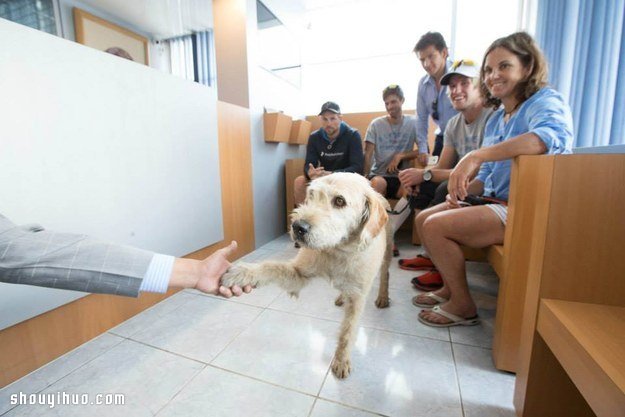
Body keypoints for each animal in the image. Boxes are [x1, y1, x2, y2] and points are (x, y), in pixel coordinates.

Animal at [221, 171, 390, 376]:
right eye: (311, 195)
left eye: (339, 201)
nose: (297, 227)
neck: (337, 251)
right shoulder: (298, 275)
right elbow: (270, 266)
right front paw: (242, 273)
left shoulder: (358, 298)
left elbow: (347, 332)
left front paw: (341, 360)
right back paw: (341, 297)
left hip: (387, 256)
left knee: (385, 276)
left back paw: (383, 297)